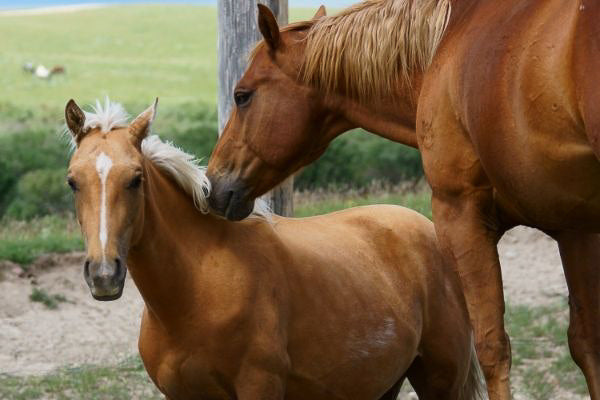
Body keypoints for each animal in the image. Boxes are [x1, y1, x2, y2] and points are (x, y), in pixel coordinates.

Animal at [64, 98, 482, 398]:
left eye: (135, 179)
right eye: (72, 181)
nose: (104, 274)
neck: (198, 291)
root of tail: (427, 231)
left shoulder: (259, 387)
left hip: (440, 379)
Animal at [205, 3, 600, 400]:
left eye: (242, 95)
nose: (213, 184)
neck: (444, 44)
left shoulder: (461, 214)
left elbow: (492, 347)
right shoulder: (575, 228)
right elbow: (586, 344)